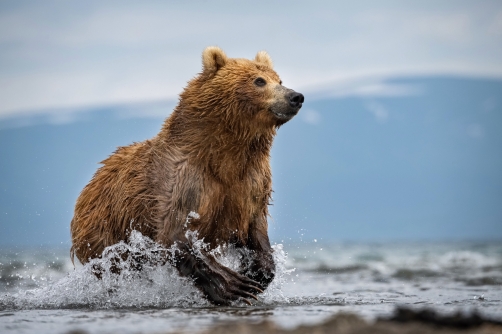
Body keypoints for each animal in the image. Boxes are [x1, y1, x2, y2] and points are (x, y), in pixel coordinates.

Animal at [70, 46, 304, 306]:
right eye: (259, 81)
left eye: (279, 80)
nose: (295, 96)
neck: (226, 157)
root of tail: (91, 182)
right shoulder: (183, 179)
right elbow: (175, 232)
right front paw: (234, 285)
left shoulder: (251, 182)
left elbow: (255, 228)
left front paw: (257, 273)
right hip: (103, 233)